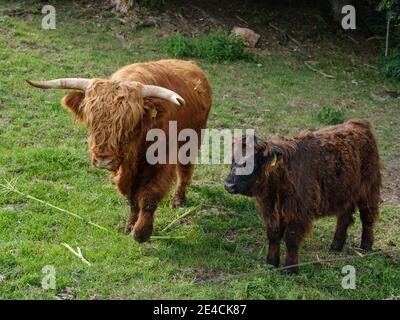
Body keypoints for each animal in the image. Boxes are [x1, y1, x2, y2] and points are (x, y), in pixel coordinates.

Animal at [27, 58, 212, 242]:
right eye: (91, 122)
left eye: (128, 125)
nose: (103, 160)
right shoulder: (126, 170)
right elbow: (132, 198)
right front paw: (129, 225)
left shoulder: (162, 163)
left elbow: (150, 197)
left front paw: (141, 233)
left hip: (192, 139)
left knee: (185, 169)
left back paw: (178, 200)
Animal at [225, 119, 382, 274]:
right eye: (232, 161)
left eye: (251, 163)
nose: (228, 185)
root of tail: (358, 123)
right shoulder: (270, 208)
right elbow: (273, 235)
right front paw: (271, 263)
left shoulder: (299, 211)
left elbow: (291, 238)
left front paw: (290, 268)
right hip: (345, 191)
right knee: (344, 217)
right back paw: (336, 246)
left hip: (369, 188)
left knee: (367, 217)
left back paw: (366, 247)